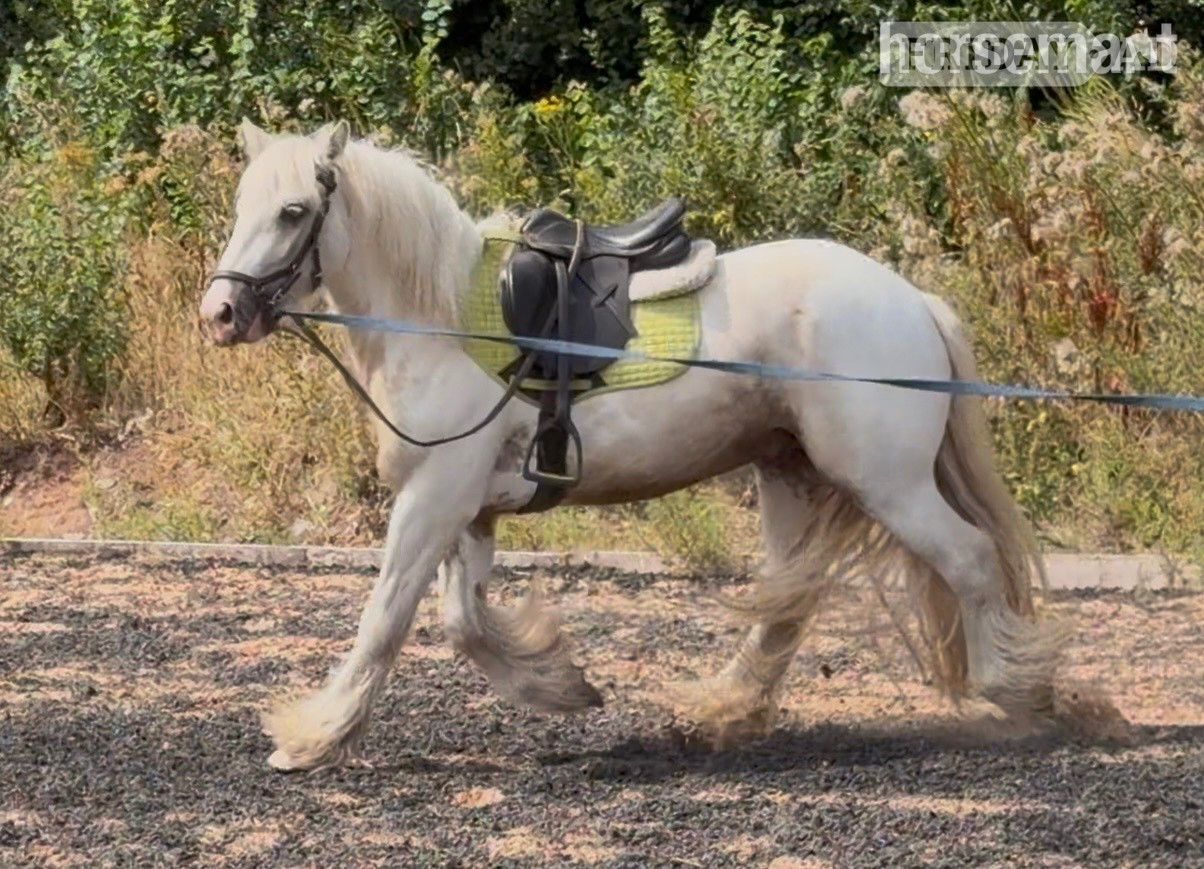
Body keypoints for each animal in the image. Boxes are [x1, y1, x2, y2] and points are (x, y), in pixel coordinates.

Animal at [200, 119, 1072, 772]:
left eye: (291, 212)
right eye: (242, 204)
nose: (220, 313)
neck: (440, 317)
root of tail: (912, 299)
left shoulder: (434, 497)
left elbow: (387, 616)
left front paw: (313, 735)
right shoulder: (465, 505)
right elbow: (463, 620)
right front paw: (559, 683)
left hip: (887, 481)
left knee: (968, 560)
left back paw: (1015, 690)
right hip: (790, 473)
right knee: (789, 603)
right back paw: (723, 709)